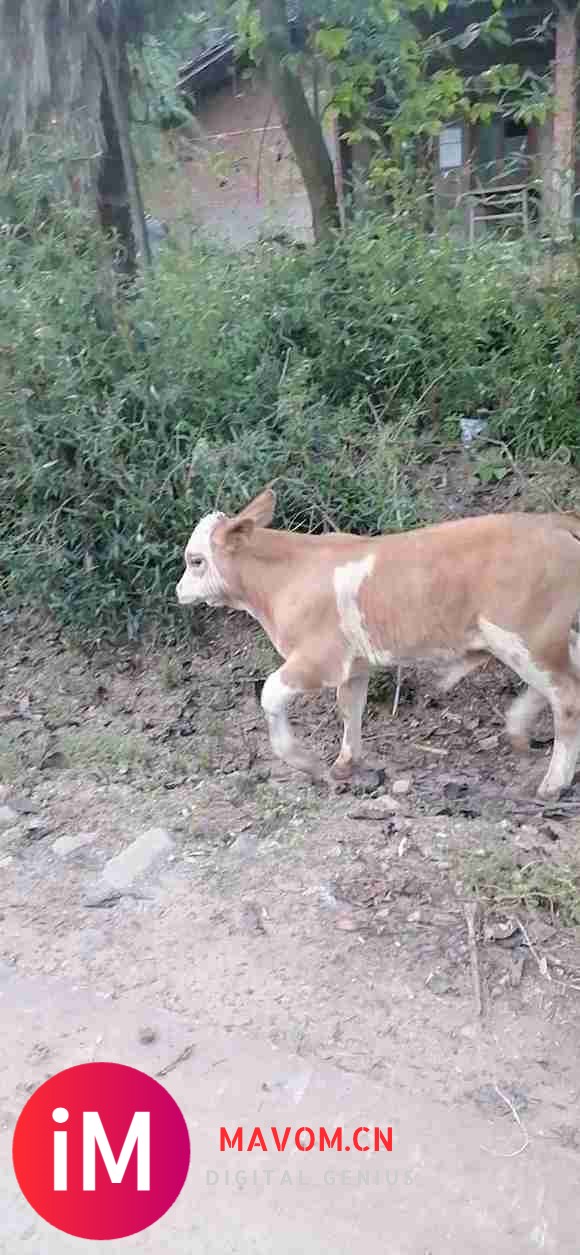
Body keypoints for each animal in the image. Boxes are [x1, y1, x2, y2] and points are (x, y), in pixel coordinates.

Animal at [177, 484, 580, 798]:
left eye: (195, 561)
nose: (179, 591)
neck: (286, 575)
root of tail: (553, 521)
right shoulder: (353, 664)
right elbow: (350, 708)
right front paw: (345, 764)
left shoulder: (318, 660)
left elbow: (270, 694)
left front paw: (306, 762)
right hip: (544, 637)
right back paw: (518, 729)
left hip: (525, 636)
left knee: (567, 696)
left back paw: (553, 783)